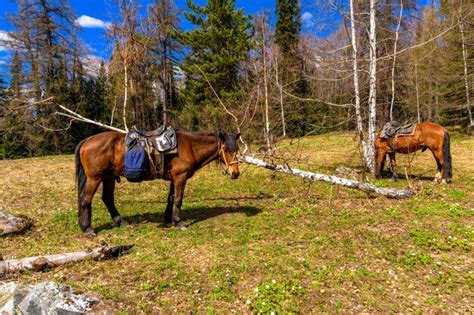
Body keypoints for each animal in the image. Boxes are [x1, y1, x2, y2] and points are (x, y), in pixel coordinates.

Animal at [76, 130, 243, 236]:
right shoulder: (180, 177)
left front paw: (168, 221)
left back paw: (120, 222)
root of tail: (87, 140)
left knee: (107, 199)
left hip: (108, 177)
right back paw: (87, 229)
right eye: (226, 149)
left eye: (237, 149)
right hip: (95, 178)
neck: (189, 146)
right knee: (86, 200)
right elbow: (178, 199)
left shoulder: (174, 178)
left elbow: (171, 199)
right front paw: (178, 222)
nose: (235, 173)